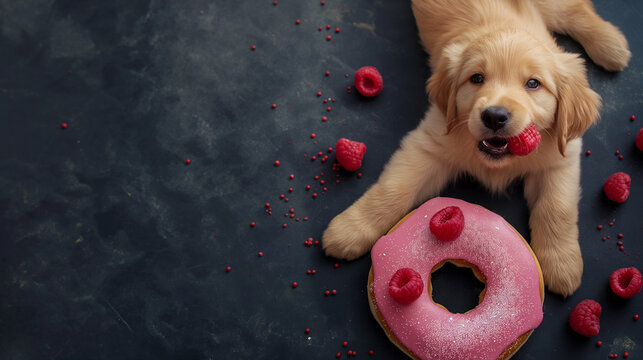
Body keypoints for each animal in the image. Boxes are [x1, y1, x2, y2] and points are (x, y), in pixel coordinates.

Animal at [322, 0, 628, 296]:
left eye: (533, 83)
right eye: (477, 78)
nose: (494, 116)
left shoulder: (561, 158)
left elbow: (557, 208)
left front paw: (562, 265)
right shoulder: (430, 142)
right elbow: (393, 189)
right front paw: (350, 229)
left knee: (576, 10)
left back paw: (612, 46)